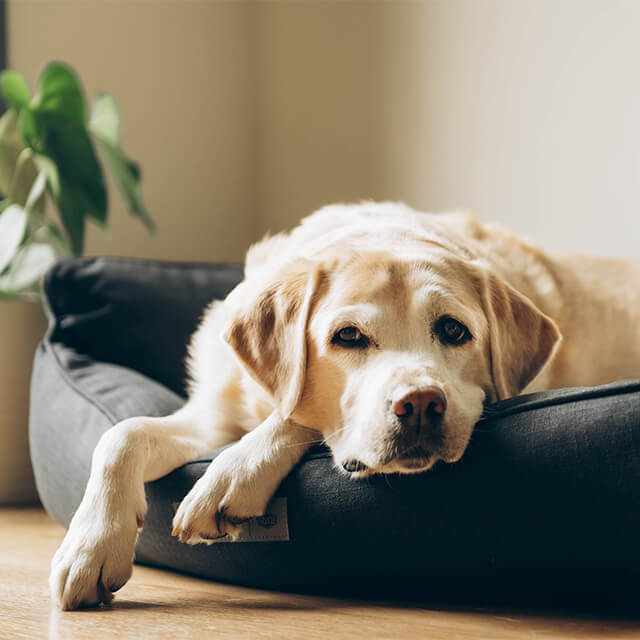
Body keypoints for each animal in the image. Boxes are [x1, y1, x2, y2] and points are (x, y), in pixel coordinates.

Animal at [50, 202, 640, 608]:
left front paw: (232, 475)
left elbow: (294, 418)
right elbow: (121, 434)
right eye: (348, 336)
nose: (420, 404)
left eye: (454, 330)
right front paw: (90, 546)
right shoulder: (210, 417)